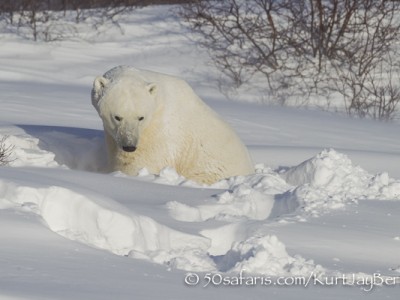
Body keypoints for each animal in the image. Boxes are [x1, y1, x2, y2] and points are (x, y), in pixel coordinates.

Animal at [91, 65, 253, 184]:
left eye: (140, 117)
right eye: (117, 117)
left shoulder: (157, 133)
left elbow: (139, 163)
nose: (129, 146)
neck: (157, 102)